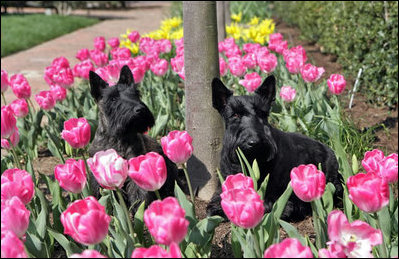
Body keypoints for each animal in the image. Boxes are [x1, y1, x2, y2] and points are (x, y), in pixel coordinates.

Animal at [90, 66, 180, 212]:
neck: (118, 138)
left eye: (136, 94)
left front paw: (139, 212)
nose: (140, 109)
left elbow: (139, 195)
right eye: (113, 98)